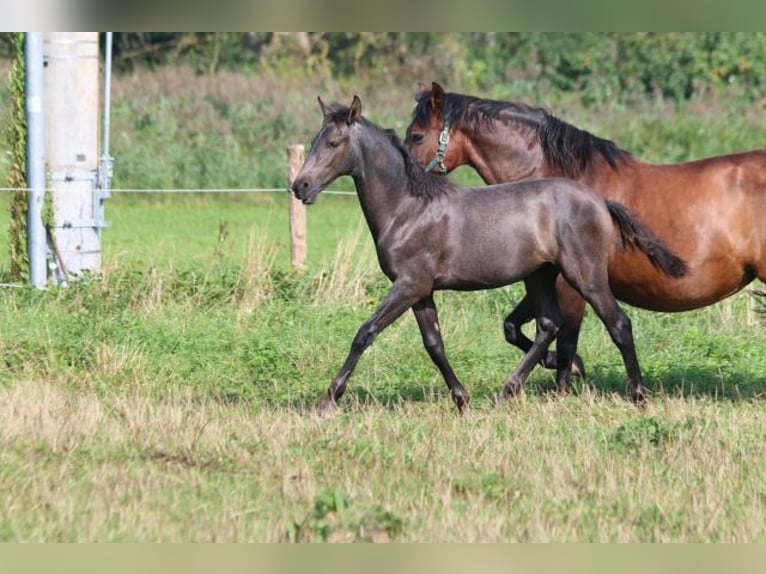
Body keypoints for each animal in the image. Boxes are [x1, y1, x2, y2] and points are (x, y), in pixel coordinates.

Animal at [292, 98, 688, 414]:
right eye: (313, 141)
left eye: (333, 142)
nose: (300, 186)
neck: (408, 209)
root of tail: (599, 201)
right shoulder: (422, 291)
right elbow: (434, 344)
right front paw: (461, 398)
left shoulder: (408, 285)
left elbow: (365, 332)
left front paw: (328, 400)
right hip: (540, 275)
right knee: (549, 325)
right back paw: (508, 391)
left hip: (585, 276)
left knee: (618, 324)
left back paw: (638, 396)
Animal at [404, 81, 766, 394]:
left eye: (416, 136)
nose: (407, 182)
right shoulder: (546, 279)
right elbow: (514, 327)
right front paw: (570, 369)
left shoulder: (570, 286)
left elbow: (565, 340)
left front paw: (564, 385)